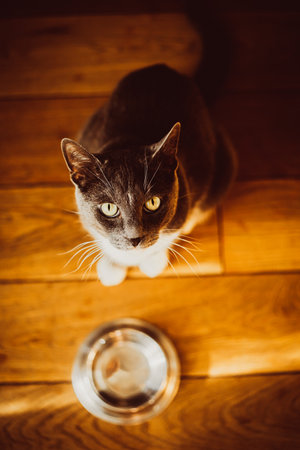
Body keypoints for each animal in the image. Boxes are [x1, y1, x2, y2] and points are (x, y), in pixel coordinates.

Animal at [61, 63, 237, 284]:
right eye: (109, 208)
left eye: (153, 203)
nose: (134, 238)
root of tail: (165, 69)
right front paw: (112, 267)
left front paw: (153, 261)